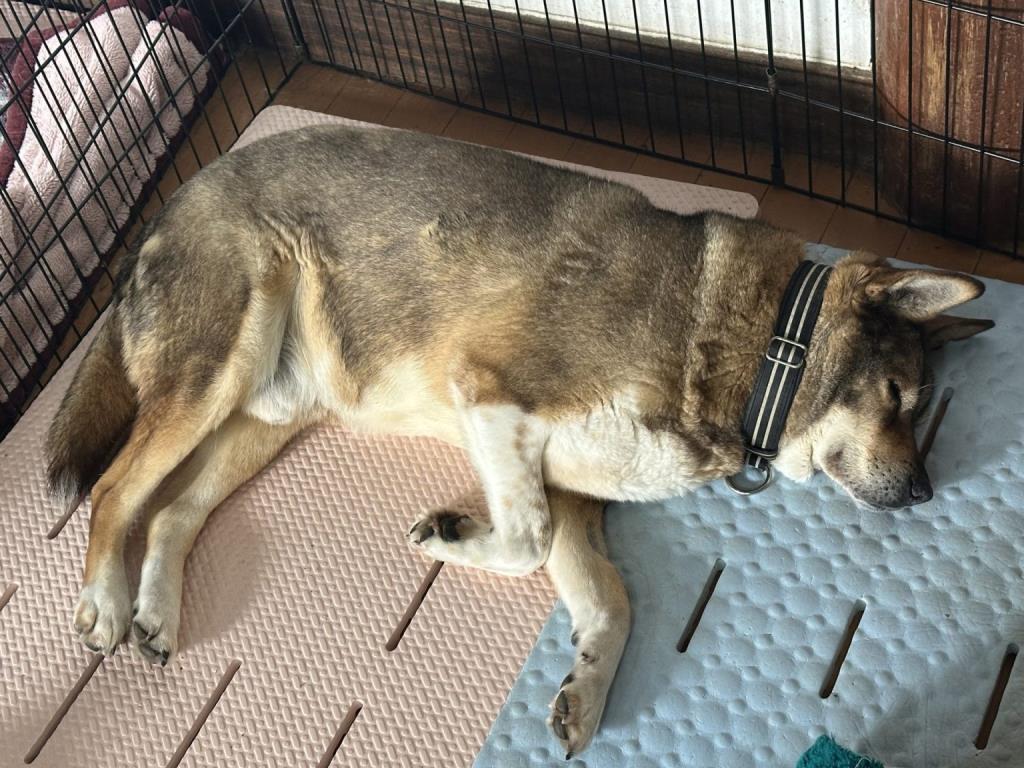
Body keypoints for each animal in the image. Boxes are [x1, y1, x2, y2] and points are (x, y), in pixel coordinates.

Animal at [45, 124, 993, 758]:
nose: (925, 492)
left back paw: (156, 610)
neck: (765, 349)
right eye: (902, 399)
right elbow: (525, 537)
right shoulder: (493, 394)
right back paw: (102, 602)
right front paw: (449, 536)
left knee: (175, 511)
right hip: (217, 370)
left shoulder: (577, 498)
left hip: (267, 415)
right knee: (118, 489)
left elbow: (613, 602)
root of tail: (183, 191)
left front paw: (586, 691)